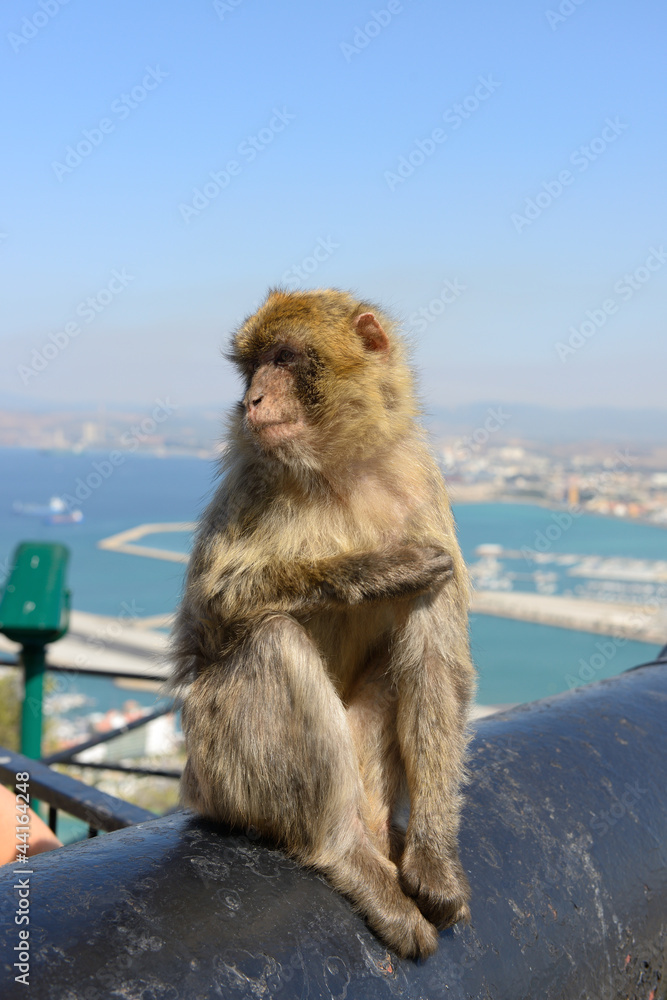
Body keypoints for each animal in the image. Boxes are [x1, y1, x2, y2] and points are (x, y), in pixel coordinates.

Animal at [170, 288, 476, 959]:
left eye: (284, 358)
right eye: (251, 366)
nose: (253, 400)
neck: (341, 470)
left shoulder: (422, 486)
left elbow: (436, 661)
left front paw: (435, 863)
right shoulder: (252, 481)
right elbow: (208, 616)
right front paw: (379, 570)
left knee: (397, 666)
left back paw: (382, 838)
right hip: (219, 772)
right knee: (273, 640)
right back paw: (345, 853)